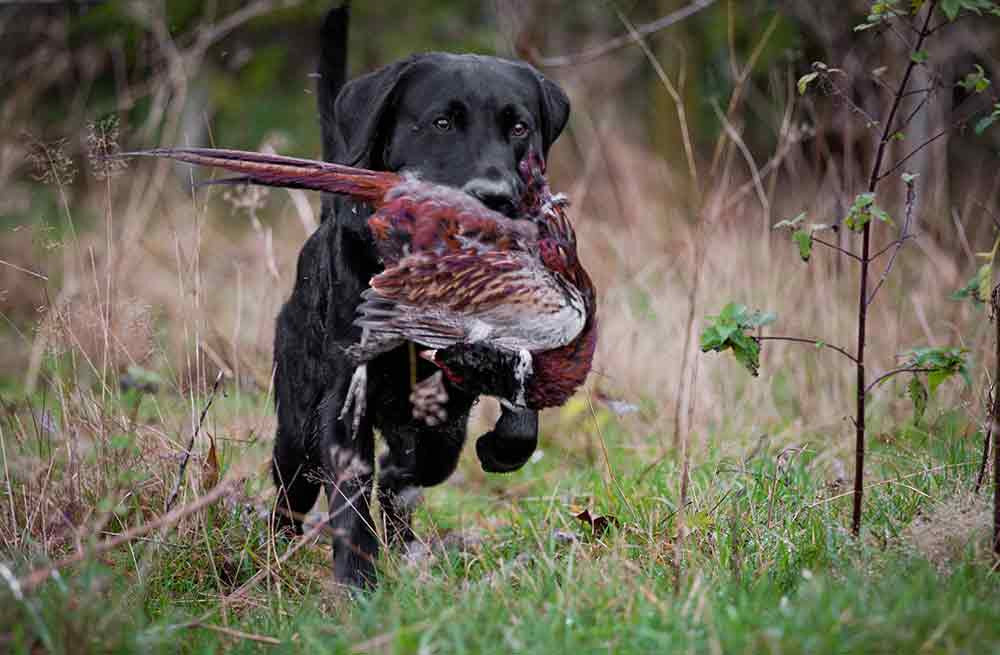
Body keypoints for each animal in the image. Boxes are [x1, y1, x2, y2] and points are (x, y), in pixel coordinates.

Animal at [272, 5, 572, 588]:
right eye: (442, 122)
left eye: (519, 126)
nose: (495, 196)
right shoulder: (344, 397)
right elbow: (352, 498)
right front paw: (359, 582)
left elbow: (504, 423)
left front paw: (499, 447)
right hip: (295, 421)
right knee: (290, 485)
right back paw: (272, 553)